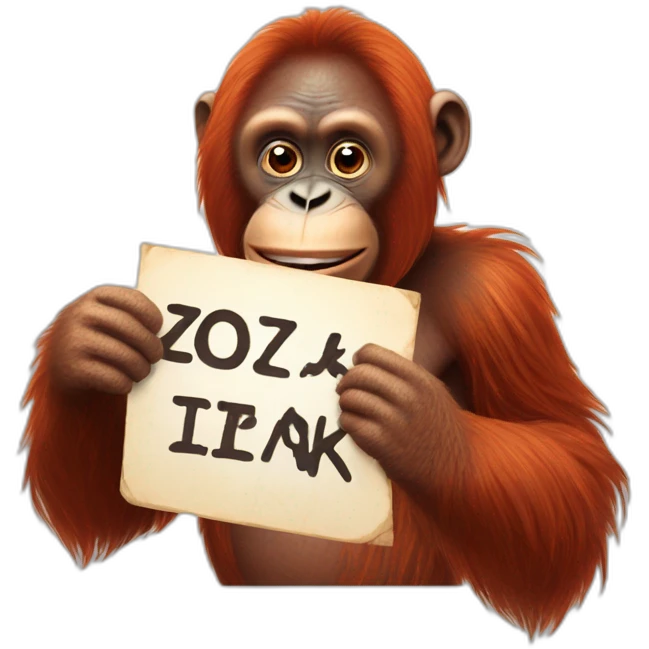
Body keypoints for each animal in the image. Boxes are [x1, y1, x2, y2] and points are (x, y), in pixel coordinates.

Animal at [19, 7, 629, 640]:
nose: (308, 197)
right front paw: (88, 345)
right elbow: (113, 506)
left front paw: (421, 424)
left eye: (348, 157)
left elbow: (569, 463)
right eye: (280, 156)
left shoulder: (496, 292)